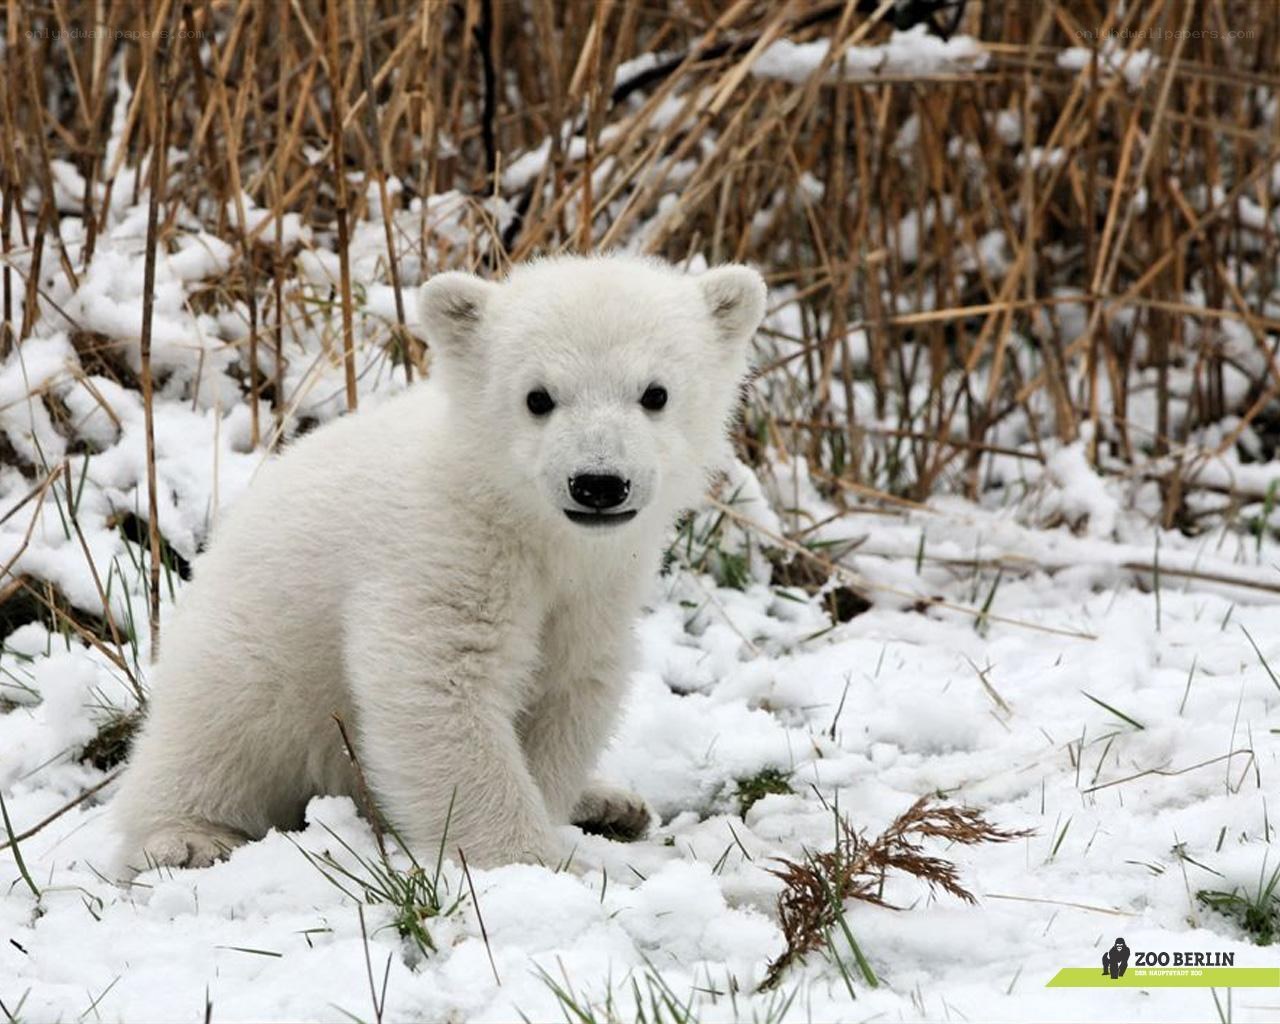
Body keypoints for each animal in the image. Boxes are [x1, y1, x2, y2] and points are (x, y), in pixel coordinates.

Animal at [112, 254, 766, 870]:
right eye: (537, 397)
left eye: (656, 393)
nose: (599, 483)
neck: (522, 518)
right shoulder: (442, 549)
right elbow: (437, 683)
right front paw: (526, 863)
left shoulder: (598, 586)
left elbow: (569, 686)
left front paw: (556, 816)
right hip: (252, 656)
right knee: (214, 737)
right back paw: (187, 838)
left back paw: (612, 802)